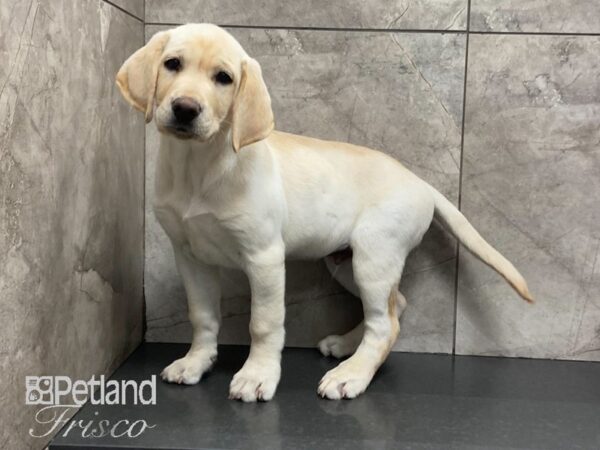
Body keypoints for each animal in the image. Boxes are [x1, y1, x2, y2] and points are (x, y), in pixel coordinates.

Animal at [115, 22, 532, 400]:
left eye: (223, 78)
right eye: (172, 64)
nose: (186, 109)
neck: (199, 165)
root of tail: (420, 182)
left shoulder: (264, 257)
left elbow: (264, 324)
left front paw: (257, 376)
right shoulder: (190, 256)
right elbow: (202, 315)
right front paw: (196, 362)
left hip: (375, 256)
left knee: (385, 324)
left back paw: (352, 375)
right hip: (345, 261)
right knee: (393, 306)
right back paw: (347, 348)